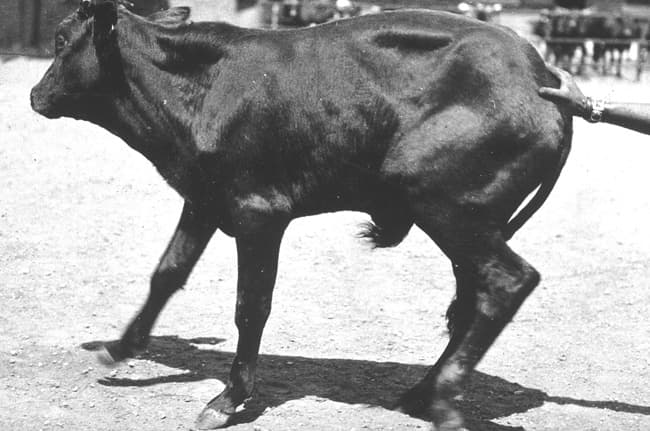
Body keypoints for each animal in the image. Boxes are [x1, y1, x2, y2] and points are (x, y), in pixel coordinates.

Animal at [30, 1, 572, 429]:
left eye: (60, 40)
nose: (34, 95)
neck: (206, 87)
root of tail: (539, 75)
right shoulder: (204, 200)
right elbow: (168, 273)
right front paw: (120, 347)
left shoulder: (259, 212)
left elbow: (251, 305)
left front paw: (229, 397)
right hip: (469, 222)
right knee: (471, 299)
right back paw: (421, 392)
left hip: (446, 207)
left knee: (508, 281)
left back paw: (440, 398)